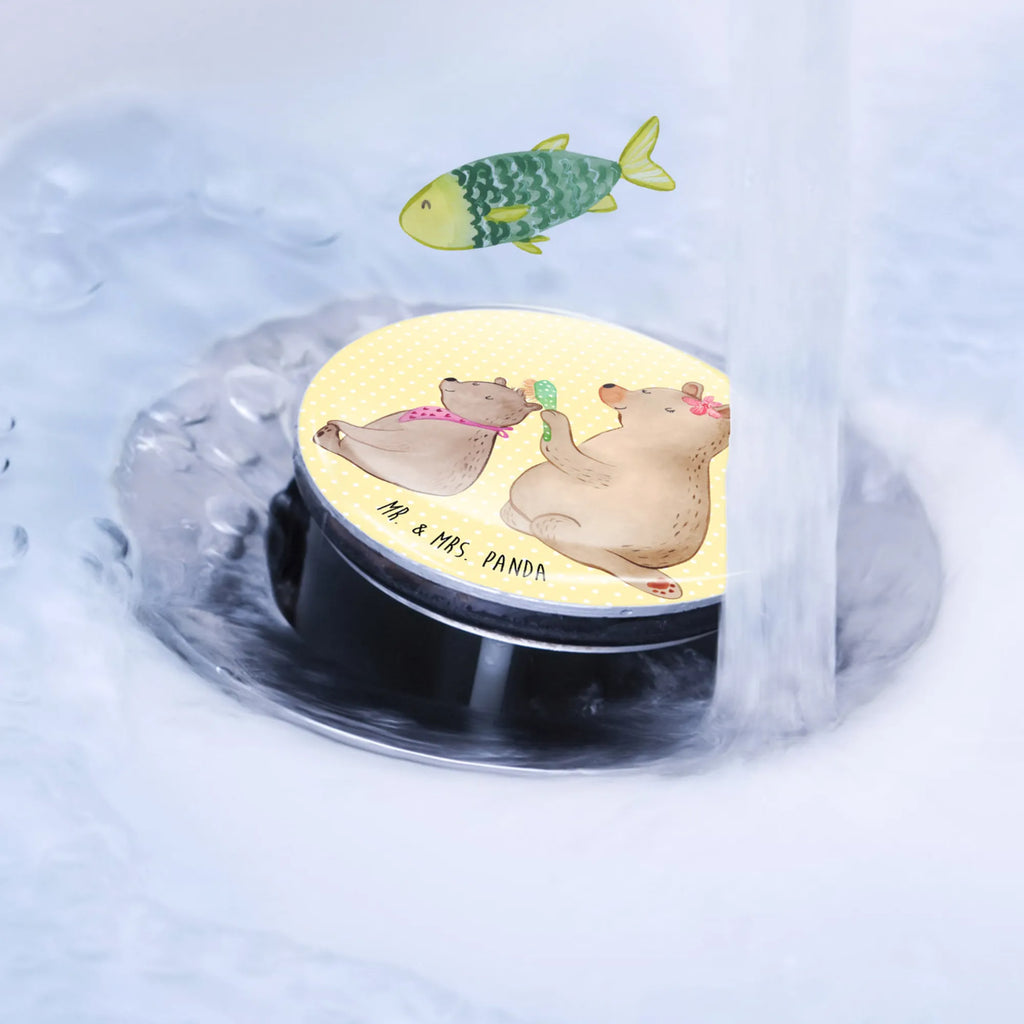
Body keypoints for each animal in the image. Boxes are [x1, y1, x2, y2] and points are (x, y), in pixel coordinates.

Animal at [313, 376, 541, 497]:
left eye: (488, 396)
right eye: (476, 383)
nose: (451, 379)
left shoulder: (415, 440)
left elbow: (380, 438)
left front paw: (339, 423)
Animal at [500, 381, 730, 599]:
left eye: (669, 410)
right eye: (646, 390)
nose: (609, 386)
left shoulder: (614, 472)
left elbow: (566, 455)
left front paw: (554, 418)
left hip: (580, 534)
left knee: (579, 546)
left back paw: (660, 585)